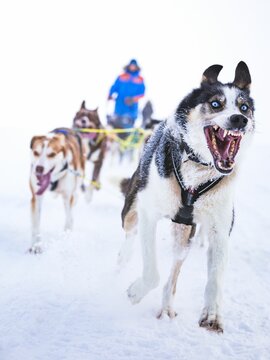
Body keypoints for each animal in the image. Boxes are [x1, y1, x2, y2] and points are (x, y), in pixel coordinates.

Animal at [120, 61, 255, 332]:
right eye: (216, 104)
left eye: (244, 107)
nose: (240, 119)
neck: (198, 171)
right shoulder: (149, 214)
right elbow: (152, 272)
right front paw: (136, 292)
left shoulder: (219, 229)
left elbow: (215, 278)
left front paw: (212, 315)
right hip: (132, 207)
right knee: (129, 232)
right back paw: (122, 261)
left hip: (184, 238)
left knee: (173, 275)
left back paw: (167, 307)